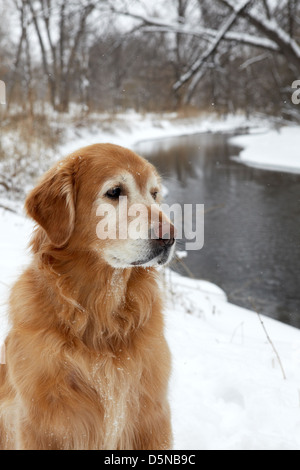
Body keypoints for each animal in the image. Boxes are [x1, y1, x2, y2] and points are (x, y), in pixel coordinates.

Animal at [0, 144, 176, 452]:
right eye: (115, 191)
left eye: (154, 193)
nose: (171, 237)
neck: (100, 318)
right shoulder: (43, 426)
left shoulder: (151, 418)